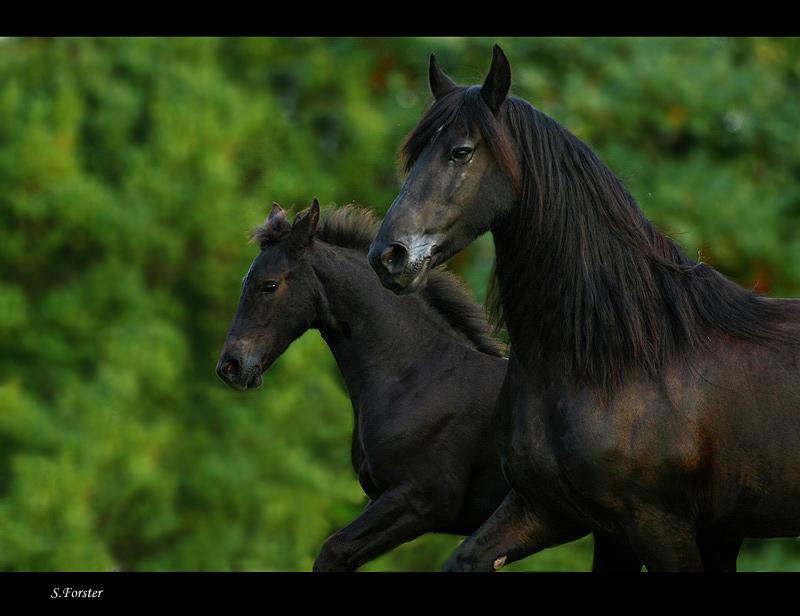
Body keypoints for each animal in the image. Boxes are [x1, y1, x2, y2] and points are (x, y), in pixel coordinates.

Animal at [368, 47, 800, 572]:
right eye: (414, 156)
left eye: (461, 152)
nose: (388, 256)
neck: (613, 362)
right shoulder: (551, 512)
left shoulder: (660, 527)